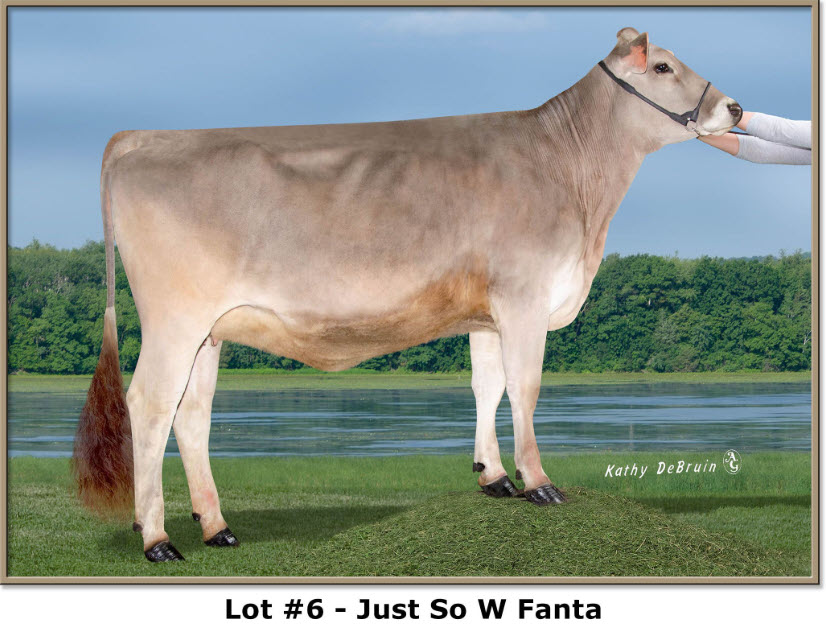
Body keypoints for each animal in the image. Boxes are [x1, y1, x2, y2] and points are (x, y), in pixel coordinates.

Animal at [72, 28, 742, 562]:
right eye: (663, 67)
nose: (733, 107)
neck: (571, 174)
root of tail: (140, 137)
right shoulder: (524, 298)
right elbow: (525, 388)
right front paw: (537, 482)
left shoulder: (487, 313)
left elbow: (487, 385)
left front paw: (492, 477)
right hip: (174, 320)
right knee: (150, 405)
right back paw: (157, 538)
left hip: (209, 330)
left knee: (193, 413)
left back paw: (215, 526)